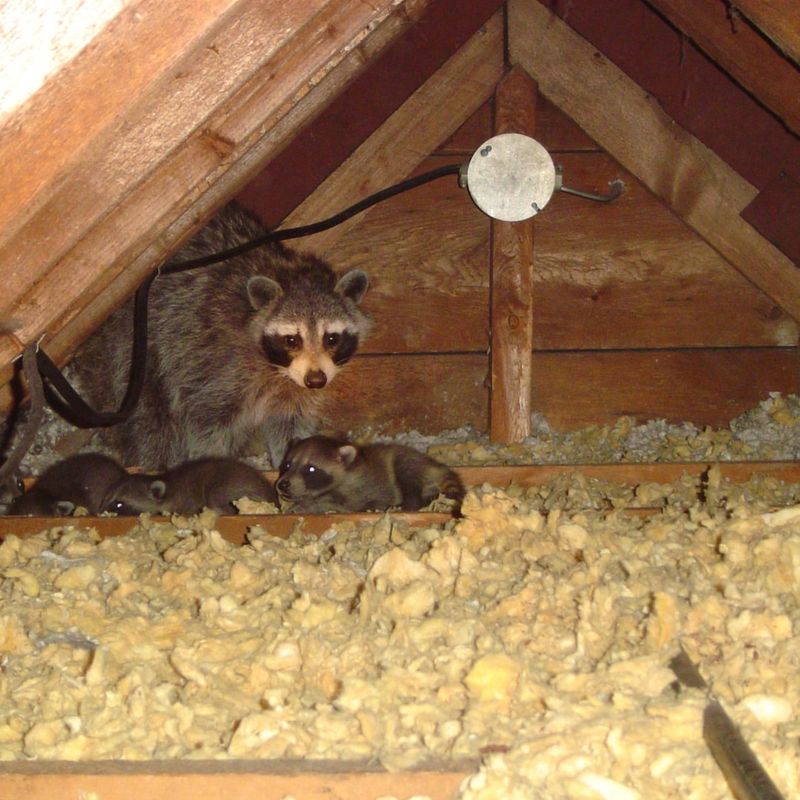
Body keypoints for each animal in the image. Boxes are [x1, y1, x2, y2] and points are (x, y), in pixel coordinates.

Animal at [71, 202, 371, 469]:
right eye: (292, 340)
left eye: (331, 338)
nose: (316, 380)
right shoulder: (215, 361)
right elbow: (206, 419)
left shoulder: (294, 389)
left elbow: (289, 422)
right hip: (136, 350)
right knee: (152, 416)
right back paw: (155, 462)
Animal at [275, 435, 465, 516]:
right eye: (287, 465)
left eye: (311, 469)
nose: (282, 484)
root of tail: (436, 465)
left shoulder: (369, 485)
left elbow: (374, 499)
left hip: (408, 462)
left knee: (408, 478)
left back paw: (410, 503)